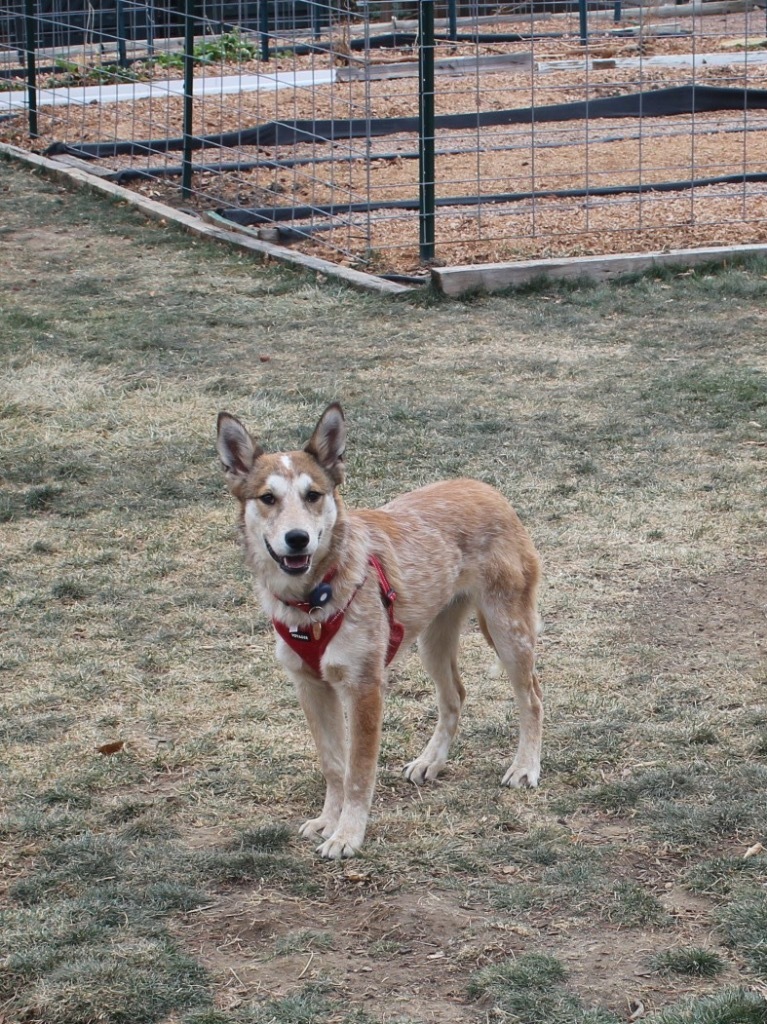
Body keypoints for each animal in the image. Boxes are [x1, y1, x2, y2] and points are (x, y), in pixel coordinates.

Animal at [215, 403, 536, 860]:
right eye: (267, 498)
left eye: (314, 495)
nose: (297, 539)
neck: (313, 599)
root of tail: (487, 489)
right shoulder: (310, 686)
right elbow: (334, 765)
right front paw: (327, 821)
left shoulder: (364, 687)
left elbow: (359, 771)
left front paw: (348, 835)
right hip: (433, 641)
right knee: (454, 696)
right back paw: (431, 761)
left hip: (509, 632)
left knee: (532, 698)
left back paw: (525, 767)